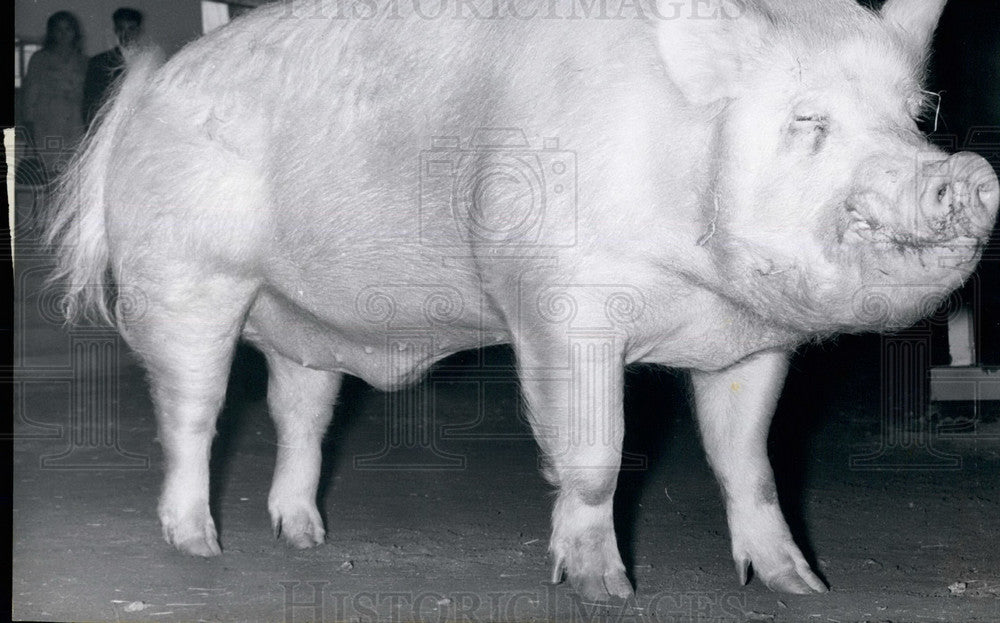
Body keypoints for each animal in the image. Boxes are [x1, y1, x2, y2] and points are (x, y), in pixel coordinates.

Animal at [46, 0, 998, 601]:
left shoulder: (753, 343)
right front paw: (604, 587)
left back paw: (306, 534)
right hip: (184, 277)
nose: (963, 172)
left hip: (300, 322)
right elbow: (597, 451)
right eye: (807, 121)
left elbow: (751, 462)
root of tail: (148, 88)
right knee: (193, 412)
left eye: (917, 114)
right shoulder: (556, 302)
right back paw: (198, 544)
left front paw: (801, 584)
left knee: (300, 413)